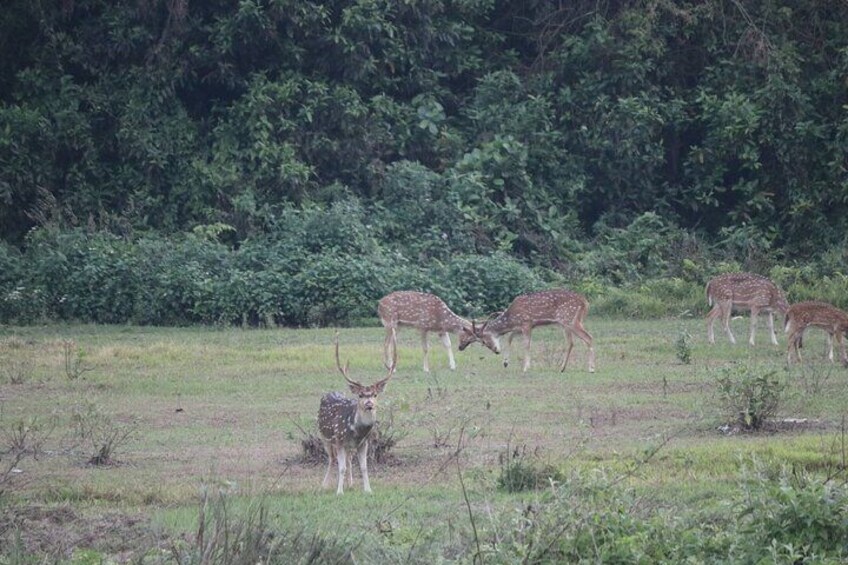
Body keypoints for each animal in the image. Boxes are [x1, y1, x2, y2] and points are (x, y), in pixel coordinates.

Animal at [318, 330, 398, 494]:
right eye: (361, 395)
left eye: (375, 394)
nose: (369, 404)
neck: (356, 431)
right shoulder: (339, 440)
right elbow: (341, 467)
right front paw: (339, 492)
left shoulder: (363, 443)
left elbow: (364, 467)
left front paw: (368, 490)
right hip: (324, 437)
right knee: (332, 459)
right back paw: (324, 485)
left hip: (348, 446)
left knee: (348, 460)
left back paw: (350, 484)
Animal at [458, 288, 596, 372]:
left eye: (484, 341)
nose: (496, 351)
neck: (512, 317)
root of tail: (586, 302)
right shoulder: (519, 328)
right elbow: (509, 338)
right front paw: (506, 362)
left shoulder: (527, 323)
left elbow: (526, 344)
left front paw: (525, 367)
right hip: (566, 323)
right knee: (571, 342)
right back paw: (562, 368)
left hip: (569, 320)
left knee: (588, 337)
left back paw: (591, 368)